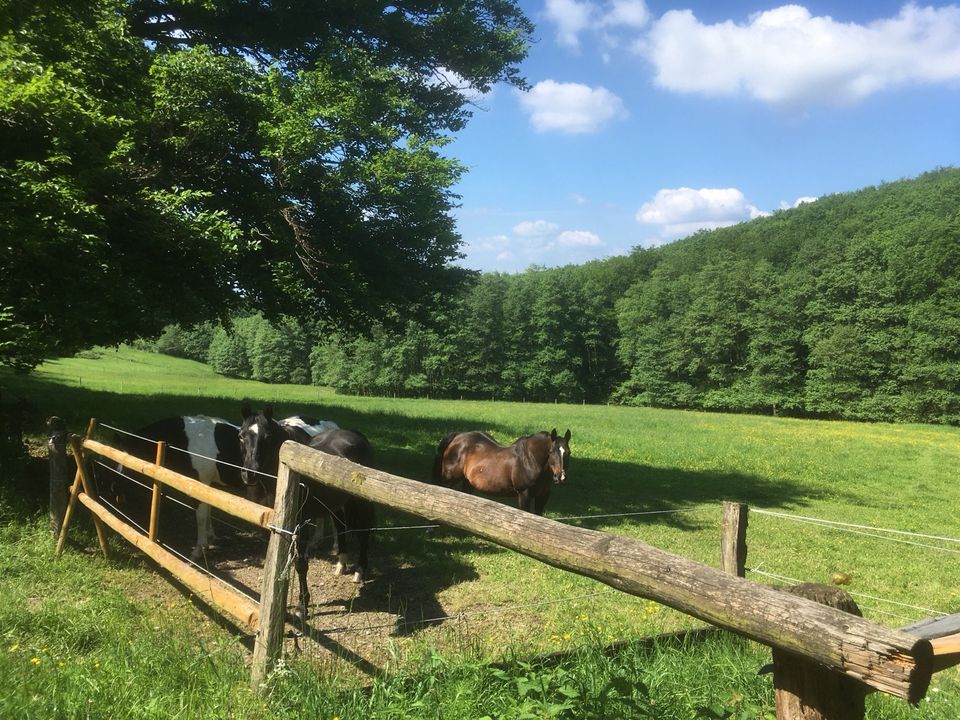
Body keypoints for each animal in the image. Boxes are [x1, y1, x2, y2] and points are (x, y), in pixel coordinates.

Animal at [238, 404, 376, 620]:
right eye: (241, 436)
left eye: (267, 436)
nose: (250, 473)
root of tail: (355, 435)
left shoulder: (298, 525)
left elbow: (301, 565)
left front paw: (302, 607)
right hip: (336, 503)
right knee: (340, 527)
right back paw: (341, 564)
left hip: (360, 502)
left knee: (364, 533)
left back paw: (360, 571)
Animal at [434, 428, 568, 512]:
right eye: (551, 451)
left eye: (568, 452)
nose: (560, 476)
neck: (530, 459)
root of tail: (457, 436)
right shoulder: (524, 493)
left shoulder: (543, 496)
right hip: (448, 480)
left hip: (468, 482)